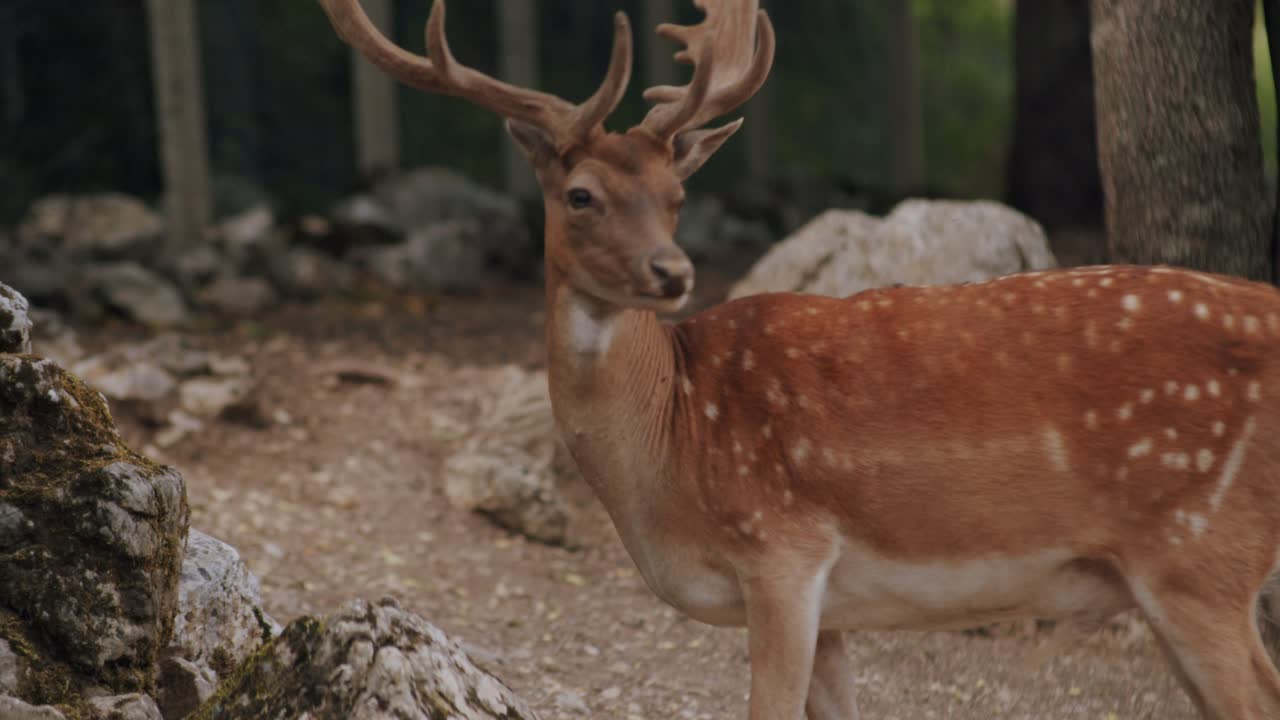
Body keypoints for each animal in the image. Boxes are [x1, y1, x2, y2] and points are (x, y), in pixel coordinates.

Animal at [317, 1, 1280, 717]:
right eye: (580, 195)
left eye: (675, 194)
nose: (672, 272)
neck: (670, 451)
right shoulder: (835, 604)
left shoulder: (781, 548)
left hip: (1199, 552)